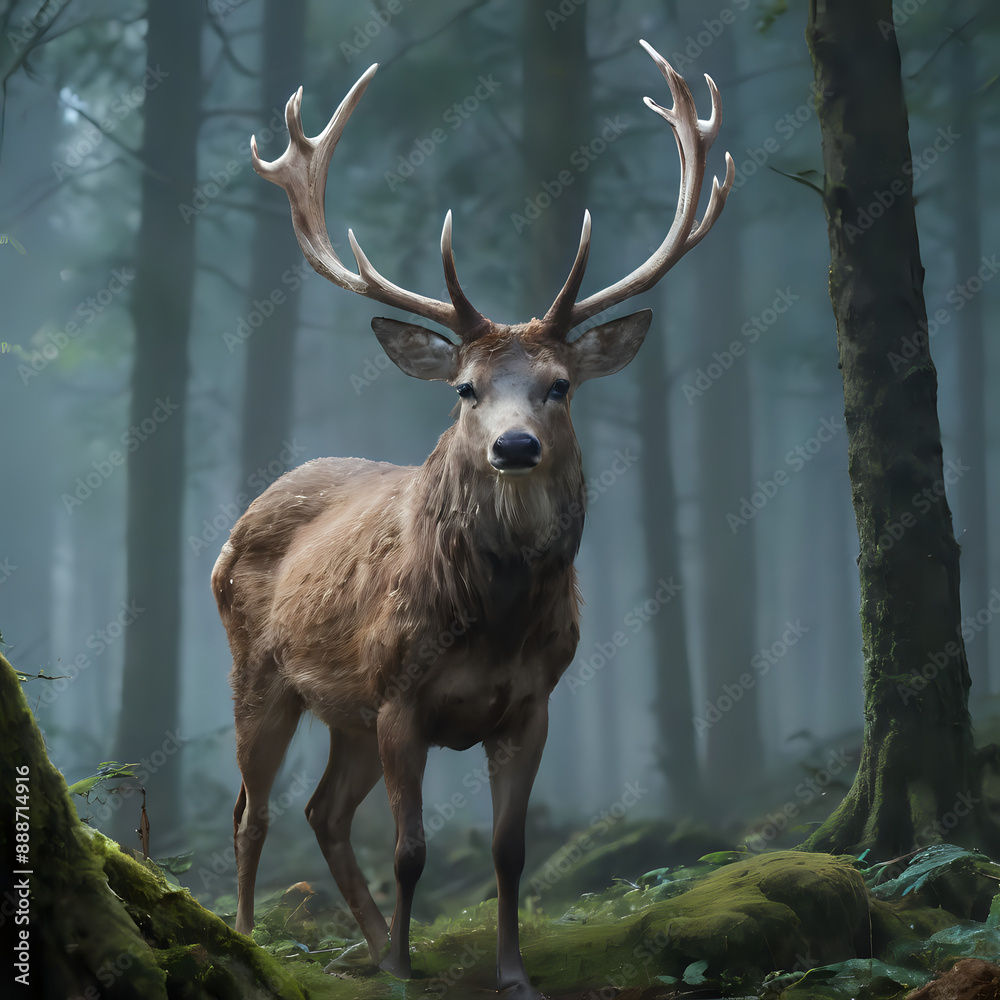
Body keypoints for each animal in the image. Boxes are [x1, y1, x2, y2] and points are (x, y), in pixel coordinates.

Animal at [213, 39, 732, 999]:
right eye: (465, 388)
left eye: (559, 385)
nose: (515, 446)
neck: (491, 620)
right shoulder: (398, 695)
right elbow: (412, 851)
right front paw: (408, 966)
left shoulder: (534, 701)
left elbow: (508, 850)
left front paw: (510, 974)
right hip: (257, 670)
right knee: (251, 811)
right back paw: (251, 938)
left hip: (342, 710)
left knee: (322, 812)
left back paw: (366, 946)